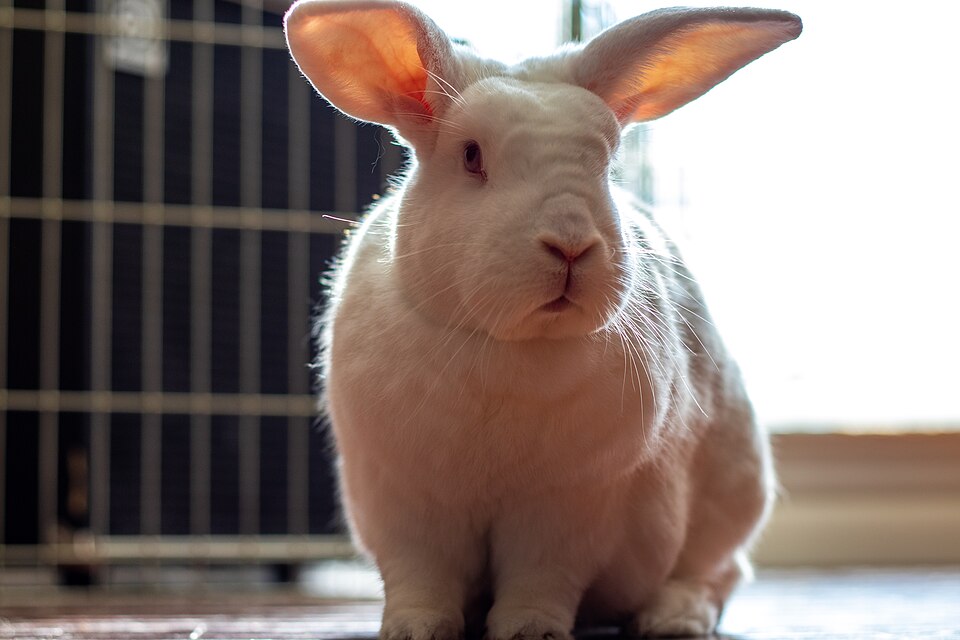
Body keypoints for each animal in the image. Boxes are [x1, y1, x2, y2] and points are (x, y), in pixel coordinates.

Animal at [284, 2, 801, 638]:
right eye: (472, 155)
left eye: (606, 162)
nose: (571, 245)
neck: (507, 346)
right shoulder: (406, 504)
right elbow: (420, 577)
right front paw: (413, 629)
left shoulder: (568, 510)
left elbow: (541, 579)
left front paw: (529, 629)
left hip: (732, 497)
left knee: (716, 574)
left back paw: (673, 617)